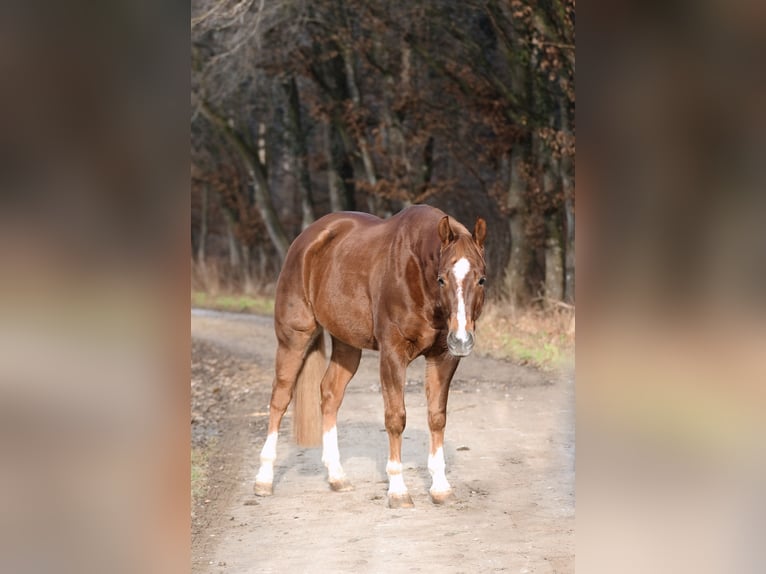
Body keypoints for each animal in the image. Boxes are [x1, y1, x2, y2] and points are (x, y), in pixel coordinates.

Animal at [255, 205, 488, 510]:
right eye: (442, 279)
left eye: (481, 279)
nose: (461, 340)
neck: (416, 272)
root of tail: (306, 239)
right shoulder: (392, 354)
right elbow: (396, 418)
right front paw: (398, 491)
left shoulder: (443, 357)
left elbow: (437, 417)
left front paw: (440, 487)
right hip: (293, 338)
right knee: (280, 398)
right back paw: (264, 479)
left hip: (346, 346)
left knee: (330, 394)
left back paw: (337, 476)